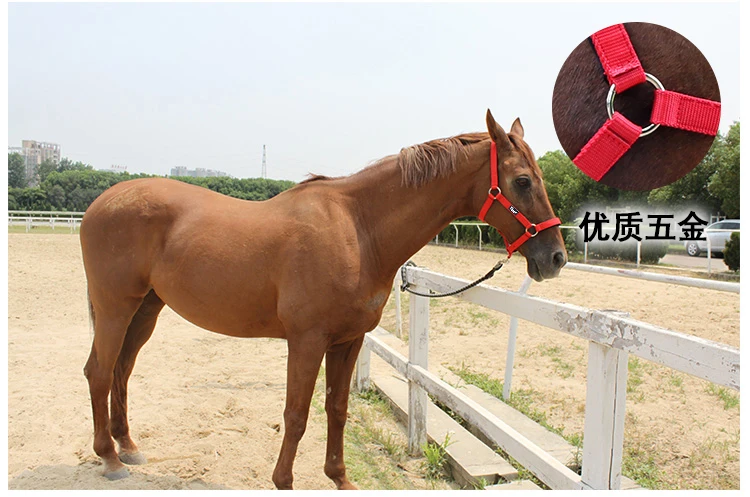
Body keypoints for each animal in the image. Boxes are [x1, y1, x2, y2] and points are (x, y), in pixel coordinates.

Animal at [79, 109, 567, 489]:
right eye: (523, 181)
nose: (556, 257)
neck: (358, 229)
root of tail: (102, 201)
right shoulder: (307, 340)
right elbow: (297, 413)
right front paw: (284, 481)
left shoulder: (347, 341)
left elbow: (337, 408)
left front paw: (340, 477)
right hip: (115, 308)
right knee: (99, 372)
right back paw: (110, 458)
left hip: (145, 309)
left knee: (122, 370)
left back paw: (128, 446)